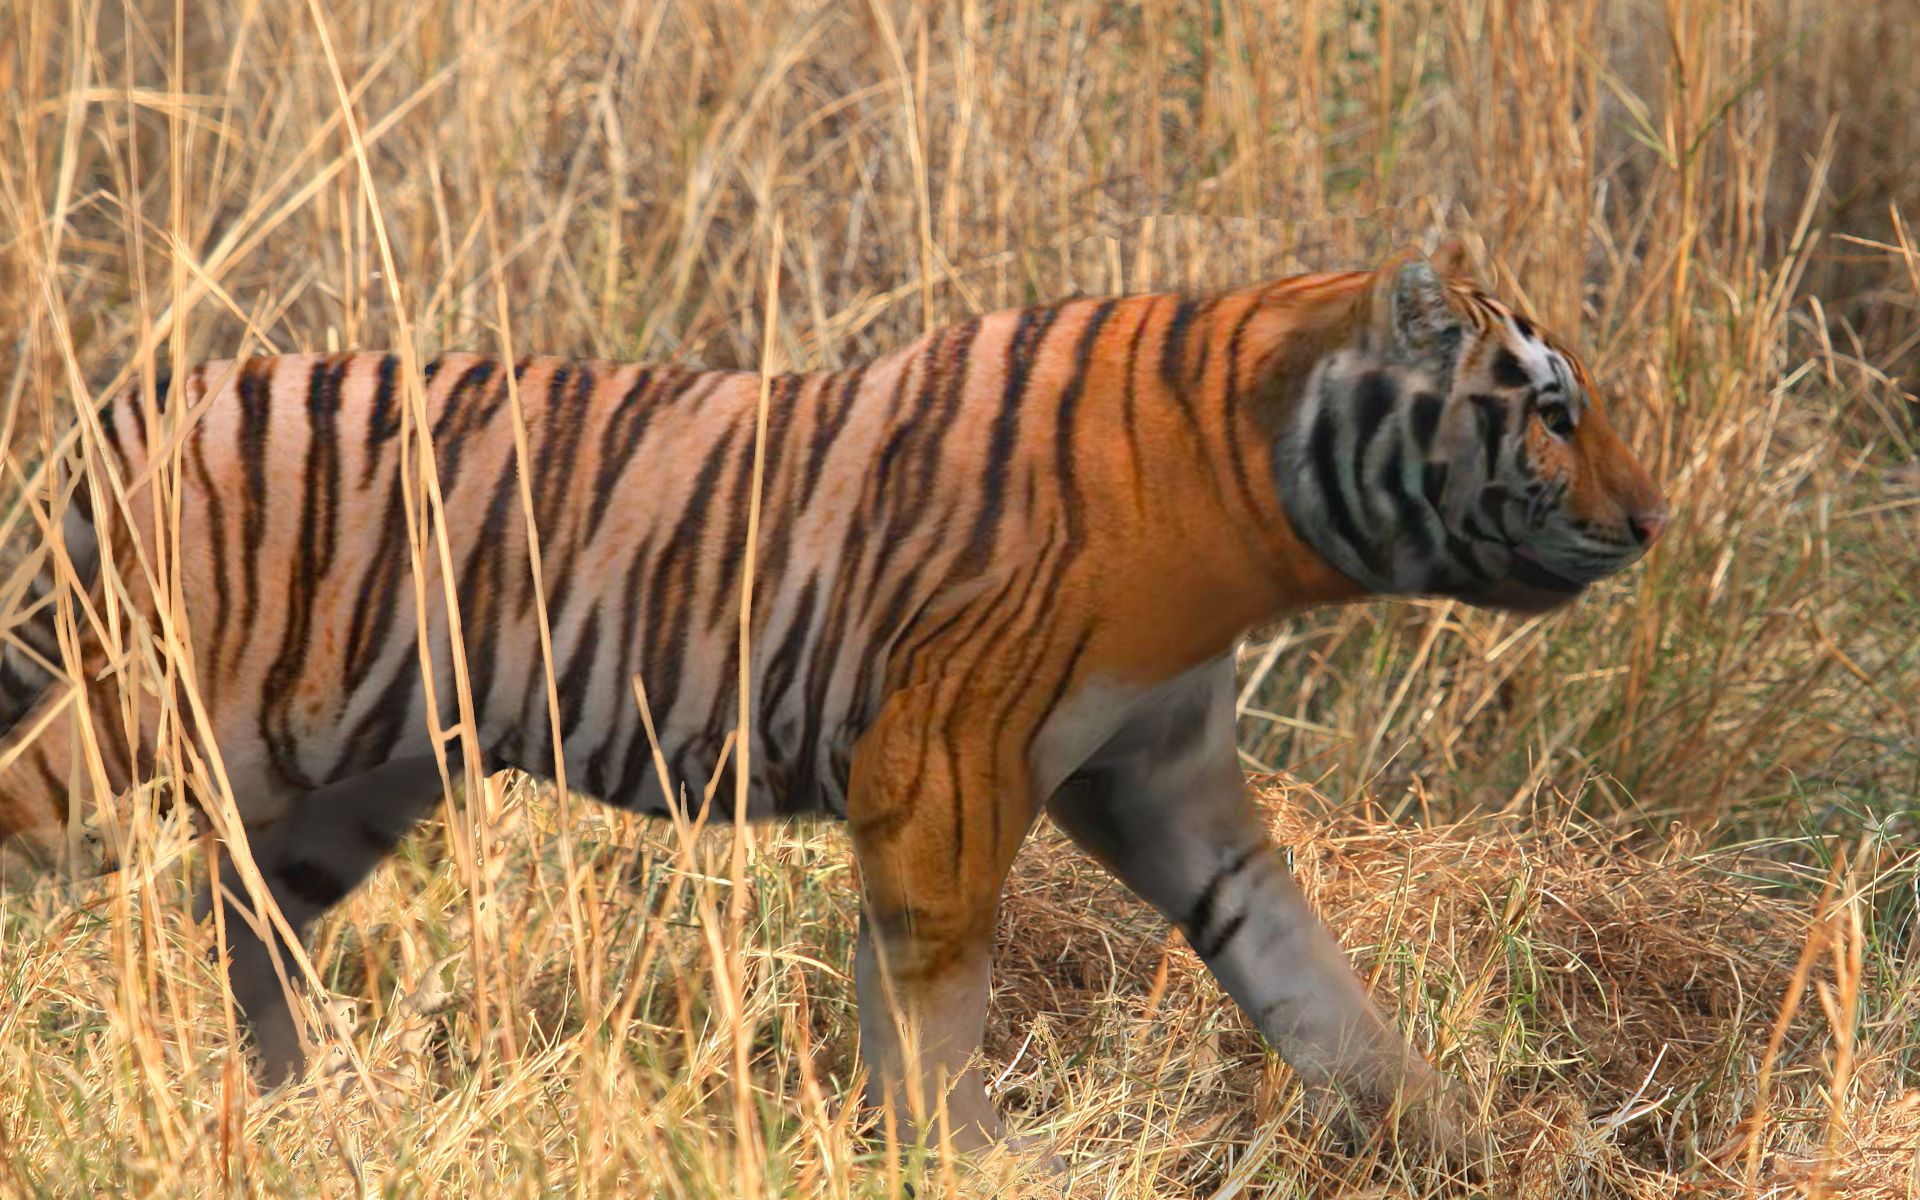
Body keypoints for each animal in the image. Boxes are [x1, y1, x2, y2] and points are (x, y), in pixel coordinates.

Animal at [0, 245, 1666, 1159]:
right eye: (1553, 414)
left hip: (358, 775)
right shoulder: (949, 751)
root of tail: (147, 395)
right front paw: (966, 1153)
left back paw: (304, 1107)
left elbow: (1304, 974)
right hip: (165, 703)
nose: (1653, 521)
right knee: (52, 816)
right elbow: (932, 986)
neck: (1254, 497)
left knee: (244, 913)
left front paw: (1450, 1136)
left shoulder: (1160, 773)